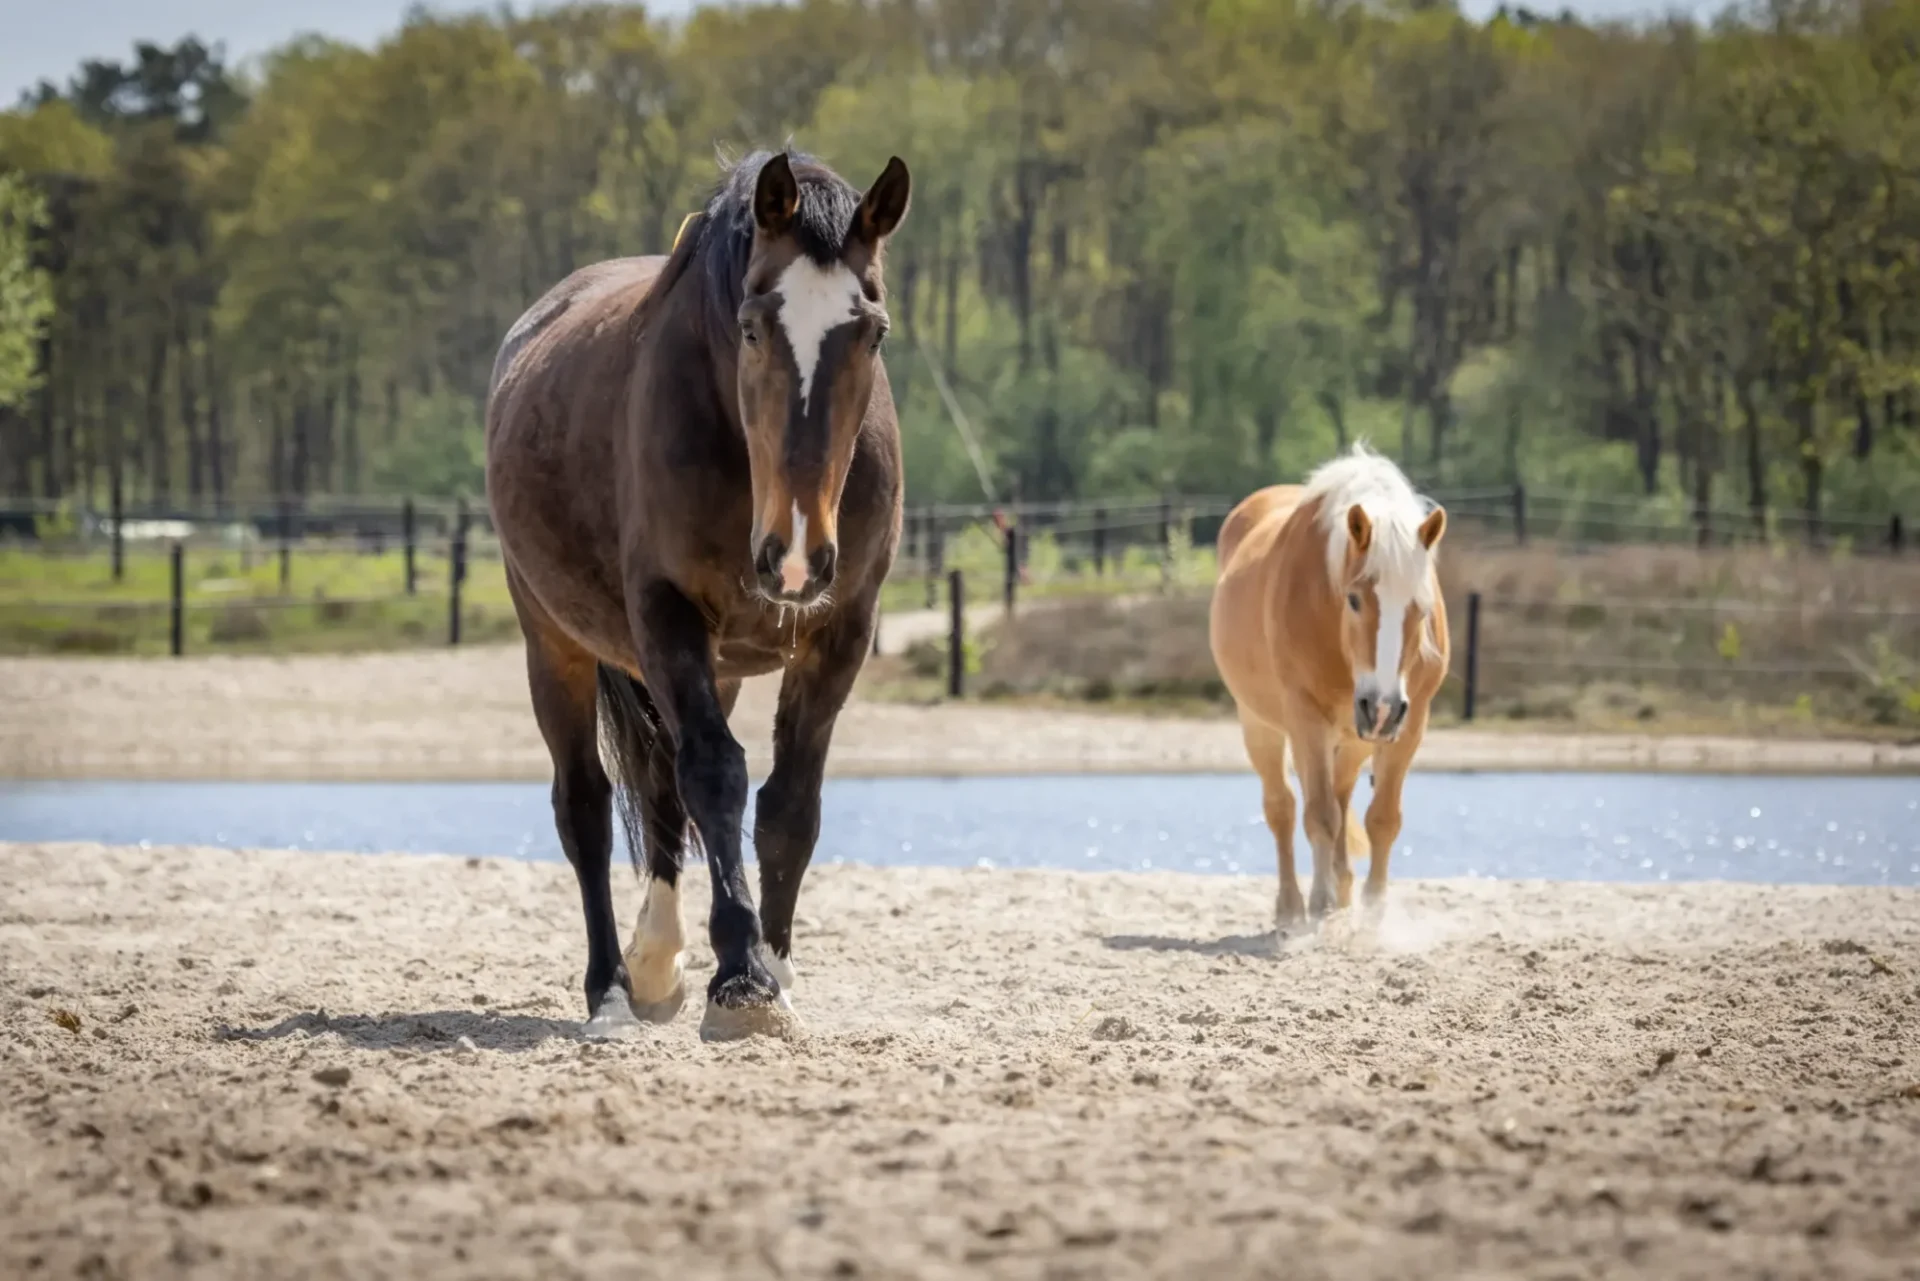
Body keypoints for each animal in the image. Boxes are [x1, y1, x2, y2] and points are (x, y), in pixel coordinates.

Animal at [484, 148, 910, 1041]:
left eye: (874, 331)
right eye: (751, 328)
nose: (795, 554)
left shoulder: (840, 633)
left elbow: (788, 803)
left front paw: (774, 971)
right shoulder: (666, 614)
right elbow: (715, 774)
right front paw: (741, 977)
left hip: (714, 667)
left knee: (658, 789)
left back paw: (655, 963)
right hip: (556, 642)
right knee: (587, 805)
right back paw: (615, 988)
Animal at [1208, 445, 1450, 932]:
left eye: (1420, 608)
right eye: (1354, 599)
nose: (1382, 706)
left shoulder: (1409, 723)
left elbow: (1382, 819)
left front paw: (1374, 912)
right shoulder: (1305, 719)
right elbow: (1318, 815)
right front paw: (1318, 908)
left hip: (1355, 737)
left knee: (1340, 796)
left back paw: (1343, 893)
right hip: (1261, 724)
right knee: (1282, 807)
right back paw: (1291, 908)